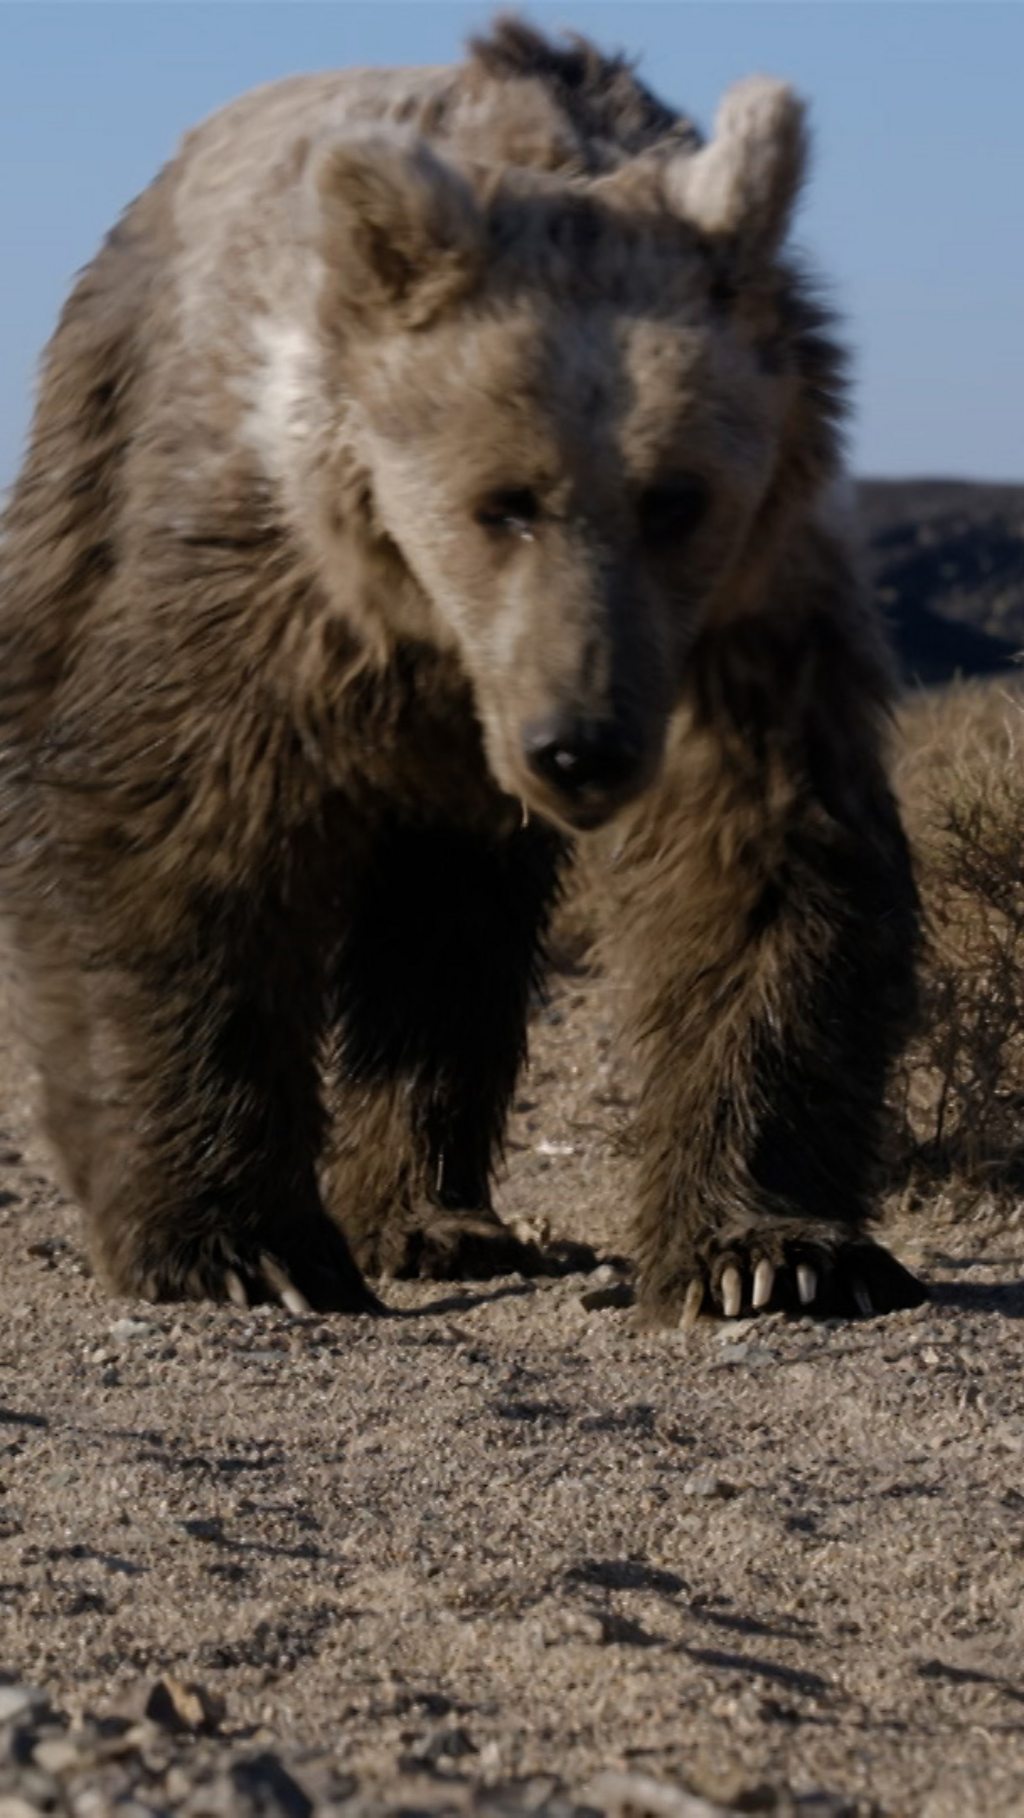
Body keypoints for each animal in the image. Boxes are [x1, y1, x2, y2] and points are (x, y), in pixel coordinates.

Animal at [0, 14, 931, 1323]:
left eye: (673, 499)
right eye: (506, 501)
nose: (580, 748)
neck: (453, 642)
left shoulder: (738, 622)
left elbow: (764, 857)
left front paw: (773, 1251)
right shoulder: (263, 581)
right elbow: (172, 841)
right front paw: (240, 1245)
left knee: (450, 935)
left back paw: (437, 1217)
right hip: (88, 457)